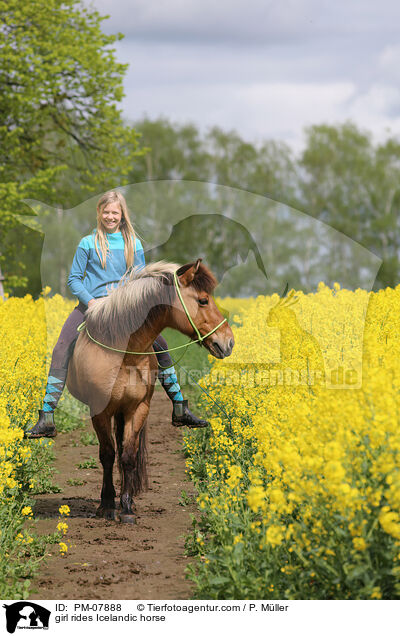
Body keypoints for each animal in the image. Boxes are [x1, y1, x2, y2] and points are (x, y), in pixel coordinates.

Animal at [65, 258, 234, 520]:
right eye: (203, 300)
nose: (228, 342)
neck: (125, 352)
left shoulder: (138, 408)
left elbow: (128, 456)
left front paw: (126, 507)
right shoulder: (99, 411)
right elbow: (107, 455)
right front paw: (107, 504)